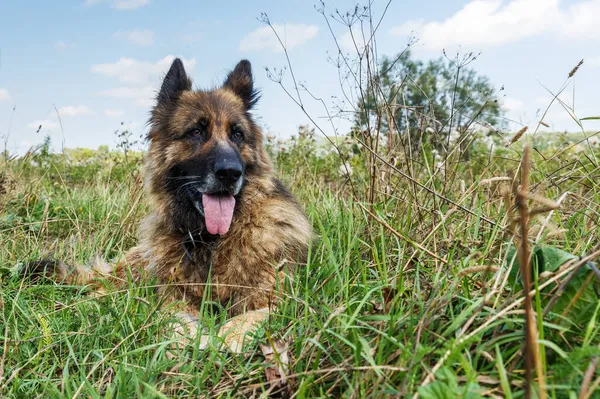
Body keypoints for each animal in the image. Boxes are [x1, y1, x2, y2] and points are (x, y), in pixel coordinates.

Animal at [28, 59, 312, 354]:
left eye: (237, 134)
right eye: (196, 131)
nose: (230, 173)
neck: (211, 241)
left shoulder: (275, 298)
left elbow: (253, 315)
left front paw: (230, 335)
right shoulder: (173, 298)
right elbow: (175, 318)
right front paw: (189, 337)